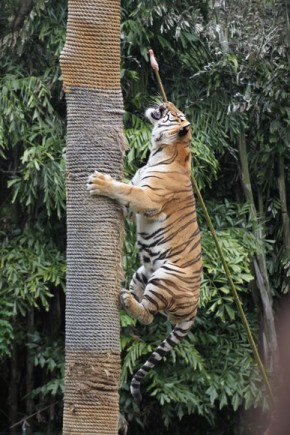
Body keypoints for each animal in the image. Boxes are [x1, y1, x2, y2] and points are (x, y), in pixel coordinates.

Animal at [86, 101, 202, 402]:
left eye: (175, 113)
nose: (164, 103)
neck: (161, 150)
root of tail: (194, 310)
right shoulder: (133, 205)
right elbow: (126, 192)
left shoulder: (147, 198)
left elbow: (124, 189)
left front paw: (100, 182)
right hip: (143, 271)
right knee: (142, 302)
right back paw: (123, 299)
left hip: (165, 276)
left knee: (149, 315)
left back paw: (128, 302)